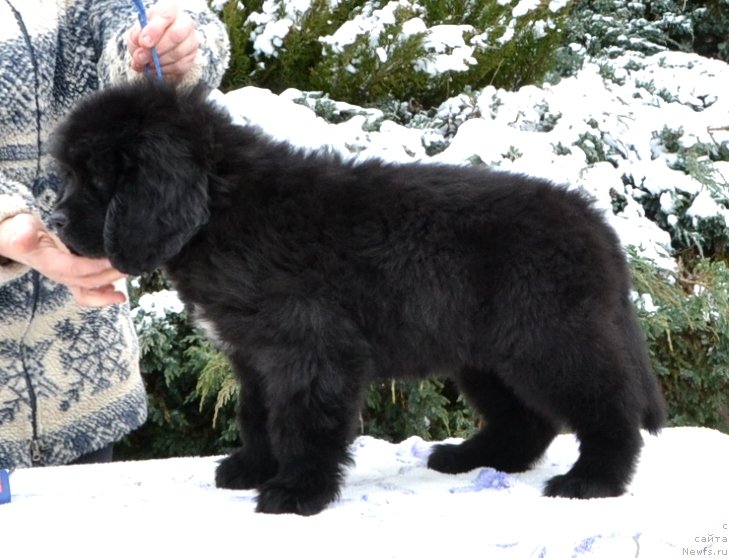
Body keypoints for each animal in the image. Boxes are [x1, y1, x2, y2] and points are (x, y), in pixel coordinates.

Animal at [49, 77, 664, 516]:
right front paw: (252, 467)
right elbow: (256, 414)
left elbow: (301, 420)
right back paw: (471, 457)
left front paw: (298, 491)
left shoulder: (309, 347)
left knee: (609, 406)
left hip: (548, 338)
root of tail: (594, 221)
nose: (52, 223)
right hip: (487, 353)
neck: (223, 210)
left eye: (97, 180)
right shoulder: (253, 353)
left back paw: (594, 479)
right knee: (526, 421)